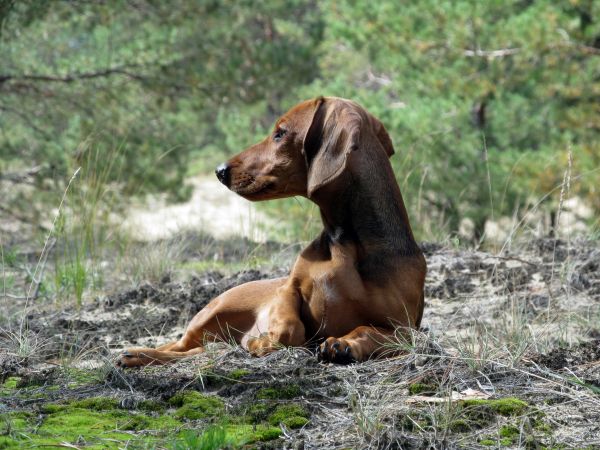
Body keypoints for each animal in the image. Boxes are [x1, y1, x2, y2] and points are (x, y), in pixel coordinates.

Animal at [117, 96, 426, 368]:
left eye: (280, 133)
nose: (220, 170)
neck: (345, 244)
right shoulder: (287, 289)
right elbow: (290, 326)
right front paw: (264, 340)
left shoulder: (405, 328)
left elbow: (369, 330)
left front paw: (343, 344)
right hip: (210, 314)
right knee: (177, 346)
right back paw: (136, 354)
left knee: (197, 351)